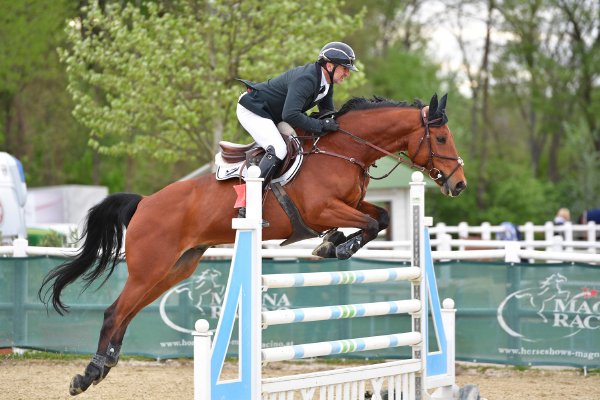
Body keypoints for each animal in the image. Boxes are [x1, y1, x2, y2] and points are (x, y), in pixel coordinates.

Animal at [38, 92, 468, 396]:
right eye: (441, 136)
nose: (459, 184)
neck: (343, 150)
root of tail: (144, 202)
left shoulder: (351, 203)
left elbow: (380, 218)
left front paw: (333, 244)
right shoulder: (322, 209)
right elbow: (369, 222)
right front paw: (336, 247)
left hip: (177, 268)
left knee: (127, 312)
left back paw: (104, 366)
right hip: (152, 268)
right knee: (115, 311)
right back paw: (88, 374)